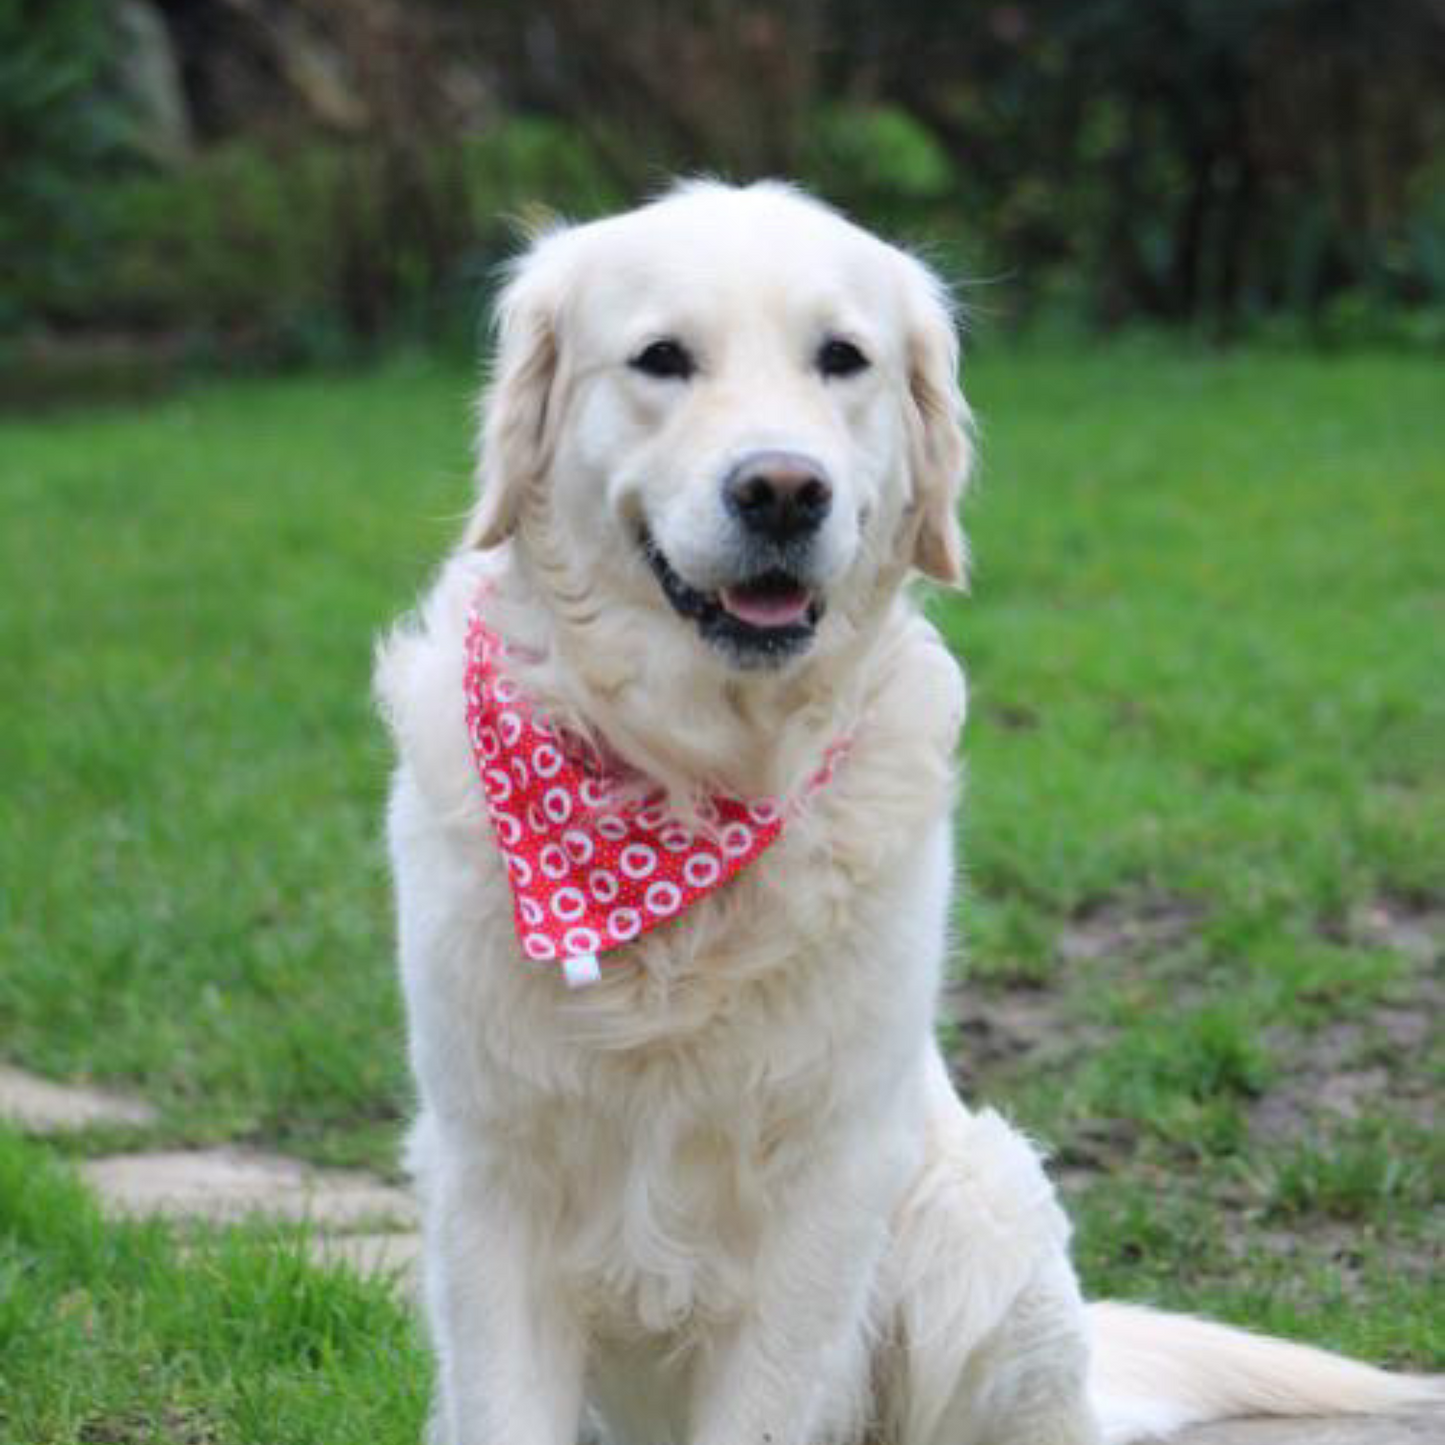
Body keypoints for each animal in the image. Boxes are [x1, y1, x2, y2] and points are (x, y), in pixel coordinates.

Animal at [375, 180, 1433, 1445]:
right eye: (660, 358)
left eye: (842, 357)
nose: (782, 489)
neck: (692, 787)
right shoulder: (491, 1177)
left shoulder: (825, 1186)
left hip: (980, 1213)